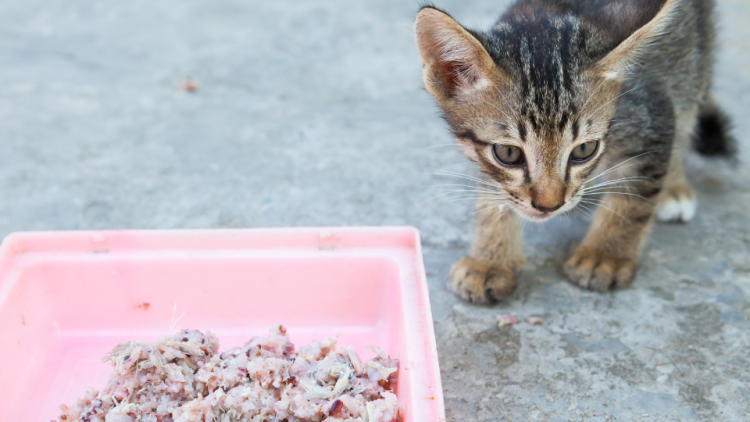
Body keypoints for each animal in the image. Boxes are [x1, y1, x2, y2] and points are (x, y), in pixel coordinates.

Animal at [418, 0, 740, 304]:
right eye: (508, 153)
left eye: (584, 149)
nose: (548, 206)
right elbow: (494, 193)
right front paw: (490, 262)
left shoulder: (650, 113)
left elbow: (633, 197)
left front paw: (605, 254)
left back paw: (674, 187)